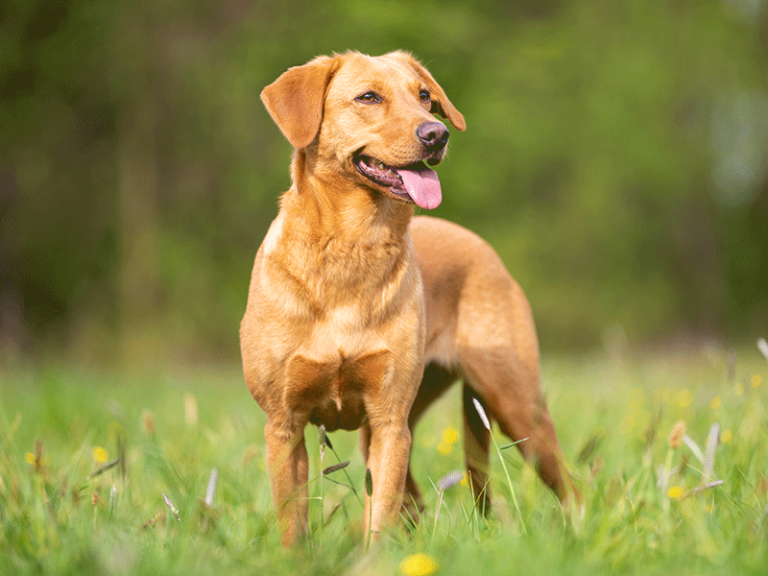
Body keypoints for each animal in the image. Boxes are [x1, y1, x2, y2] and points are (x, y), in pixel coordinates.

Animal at [240, 51, 576, 548]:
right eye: (368, 97)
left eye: (424, 97)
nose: (437, 134)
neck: (352, 246)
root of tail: (483, 247)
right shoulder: (284, 425)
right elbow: (292, 523)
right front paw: (295, 558)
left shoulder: (389, 421)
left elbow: (380, 517)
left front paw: (373, 558)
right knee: (413, 500)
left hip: (515, 403)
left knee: (571, 488)